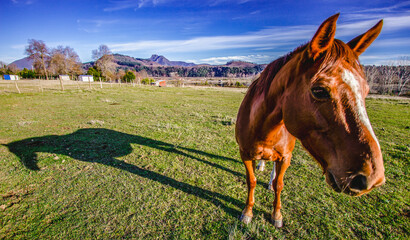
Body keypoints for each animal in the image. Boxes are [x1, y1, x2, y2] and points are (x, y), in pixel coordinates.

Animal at [235, 14, 386, 228]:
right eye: (319, 90)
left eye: (366, 91)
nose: (372, 178)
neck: (264, 129)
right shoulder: (245, 154)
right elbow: (252, 181)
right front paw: (247, 212)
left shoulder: (286, 157)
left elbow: (279, 184)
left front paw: (277, 215)